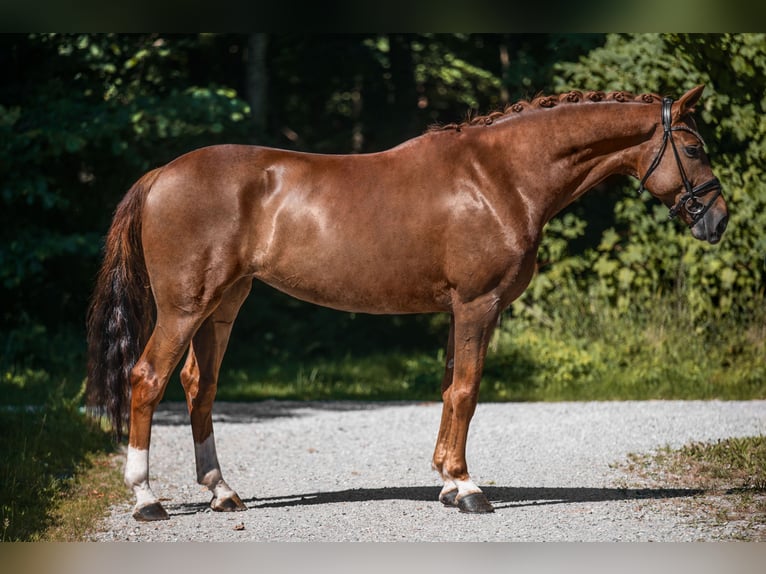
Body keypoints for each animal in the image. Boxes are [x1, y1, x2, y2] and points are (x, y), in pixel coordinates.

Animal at [86, 85, 728, 521]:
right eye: (695, 148)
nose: (718, 220)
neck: (500, 177)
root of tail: (161, 174)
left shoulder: (457, 311)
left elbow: (448, 388)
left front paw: (445, 480)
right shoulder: (478, 305)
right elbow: (467, 391)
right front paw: (468, 489)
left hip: (221, 306)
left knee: (200, 386)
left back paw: (222, 492)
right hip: (184, 308)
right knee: (147, 379)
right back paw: (146, 498)